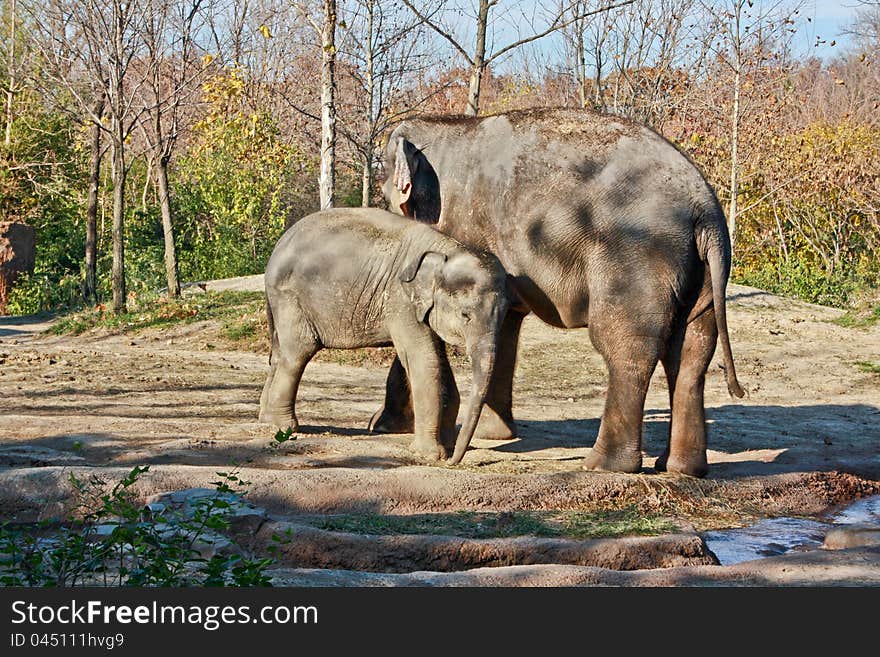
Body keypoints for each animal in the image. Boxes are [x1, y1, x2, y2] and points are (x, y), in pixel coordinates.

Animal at [256, 208, 508, 464]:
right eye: (466, 315)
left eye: (505, 314)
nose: (453, 460)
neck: (446, 249)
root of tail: (278, 246)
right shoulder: (401, 300)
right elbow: (425, 360)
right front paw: (431, 455)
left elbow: (439, 361)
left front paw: (445, 445)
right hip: (289, 297)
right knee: (298, 352)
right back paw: (283, 427)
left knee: (279, 353)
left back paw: (265, 418)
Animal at [368, 109, 744, 476]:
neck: (447, 124)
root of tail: (706, 209)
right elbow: (504, 328)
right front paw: (494, 434)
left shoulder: (461, 231)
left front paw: (383, 426)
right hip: (700, 273)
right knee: (691, 352)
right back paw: (681, 469)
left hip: (635, 259)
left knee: (626, 347)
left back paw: (603, 465)